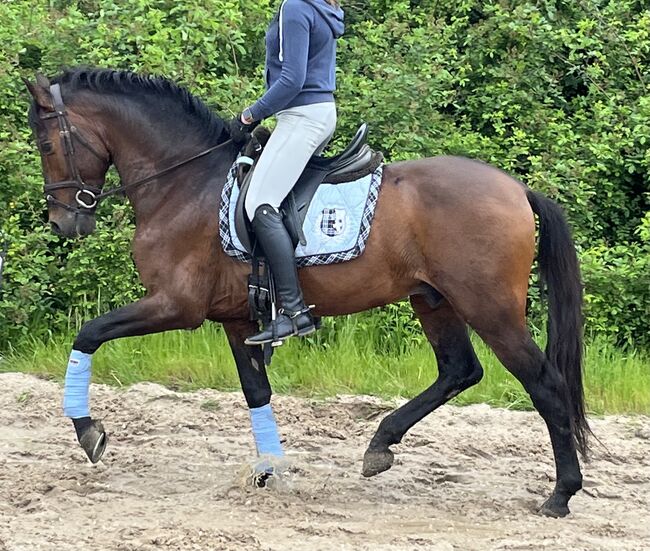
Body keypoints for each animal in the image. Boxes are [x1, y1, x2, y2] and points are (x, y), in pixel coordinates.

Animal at [25, 68, 588, 516]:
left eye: (47, 145)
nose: (63, 223)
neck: (185, 184)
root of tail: (517, 189)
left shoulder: (175, 306)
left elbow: (89, 333)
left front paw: (88, 432)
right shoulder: (237, 319)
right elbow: (256, 392)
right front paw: (269, 470)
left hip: (489, 307)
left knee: (544, 383)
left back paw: (561, 494)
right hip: (434, 300)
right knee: (459, 370)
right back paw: (380, 445)